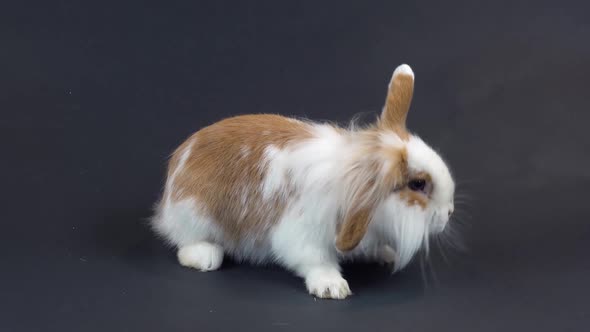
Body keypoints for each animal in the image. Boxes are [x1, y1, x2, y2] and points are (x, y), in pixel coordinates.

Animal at [153, 63, 458, 300]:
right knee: (185, 243)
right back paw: (205, 256)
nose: (449, 213)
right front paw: (332, 287)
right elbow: (315, 259)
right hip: (194, 215)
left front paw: (385, 254)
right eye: (418, 184)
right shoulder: (302, 234)